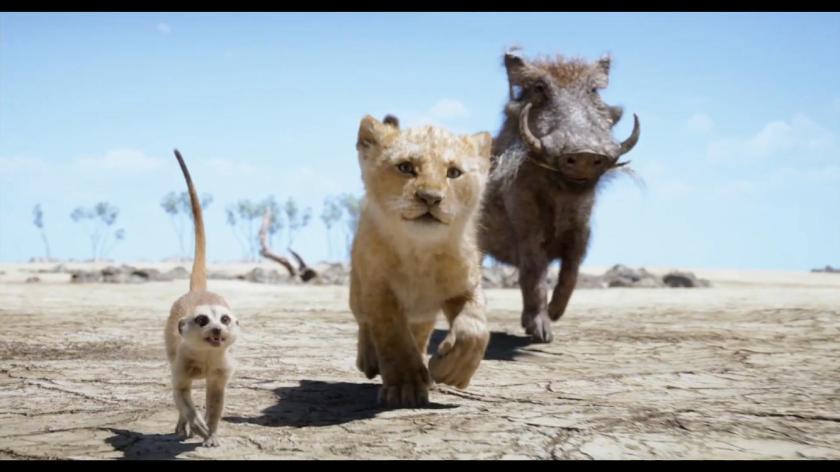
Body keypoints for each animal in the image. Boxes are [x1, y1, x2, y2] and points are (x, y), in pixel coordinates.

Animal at [349, 114, 492, 408]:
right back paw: (369, 360)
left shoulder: (465, 286)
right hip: (356, 291)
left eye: (453, 172)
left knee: (420, 331)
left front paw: (449, 370)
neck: (421, 252)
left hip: (424, 314)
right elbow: (393, 337)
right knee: (365, 323)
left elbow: (475, 329)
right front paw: (406, 386)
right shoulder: (378, 290)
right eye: (406, 167)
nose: (430, 197)